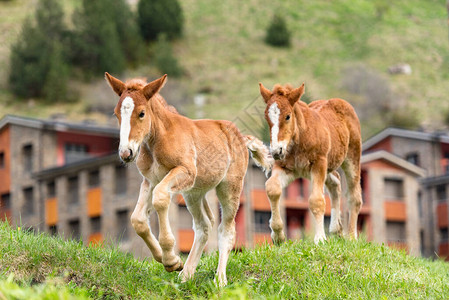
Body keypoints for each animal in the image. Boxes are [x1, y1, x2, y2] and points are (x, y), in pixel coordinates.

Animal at [105, 72, 272, 286]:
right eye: (116, 114)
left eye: (141, 113)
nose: (126, 153)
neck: (158, 140)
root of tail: (241, 138)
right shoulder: (150, 180)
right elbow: (137, 219)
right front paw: (169, 261)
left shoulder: (184, 172)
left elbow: (160, 198)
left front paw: (170, 258)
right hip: (194, 193)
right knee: (204, 225)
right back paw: (186, 274)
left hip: (229, 187)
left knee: (226, 230)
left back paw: (220, 279)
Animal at [260, 81, 360, 244]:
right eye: (267, 117)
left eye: (288, 116)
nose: (276, 151)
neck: (300, 138)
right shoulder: (286, 168)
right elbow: (272, 188)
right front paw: (278, 235)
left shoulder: (319, 163)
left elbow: (316, 200)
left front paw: (320, 239)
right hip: (326, 166)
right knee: (336, 181)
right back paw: (335, 229)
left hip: (352, 157)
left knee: (354, 195)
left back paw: (351, 236)